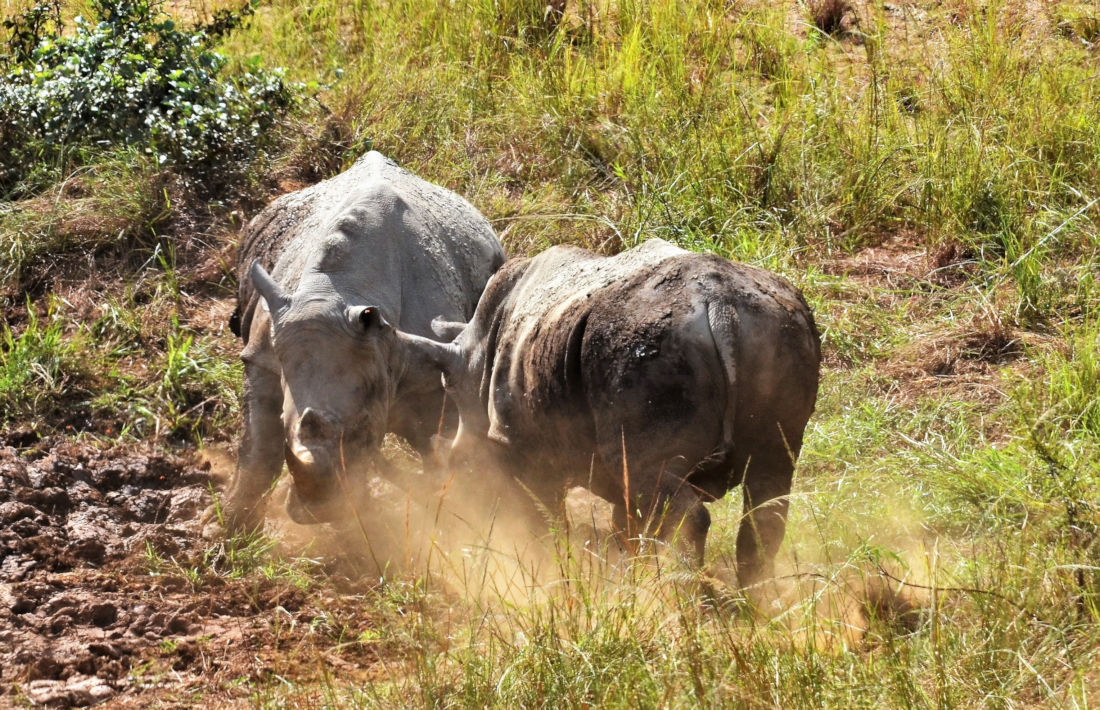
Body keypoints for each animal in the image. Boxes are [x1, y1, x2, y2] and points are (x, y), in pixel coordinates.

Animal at [393, 239, 818, 585]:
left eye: (458, 469)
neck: (475, 359)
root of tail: (721, 308)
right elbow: (626, 525)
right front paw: (628, 582)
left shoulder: (520, 446)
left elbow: (545, 521)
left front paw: (547, 576)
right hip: (780, 327)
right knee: (768, 486)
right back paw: (752, 608)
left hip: (644, 350)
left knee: (671, 493)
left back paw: (684, 601)